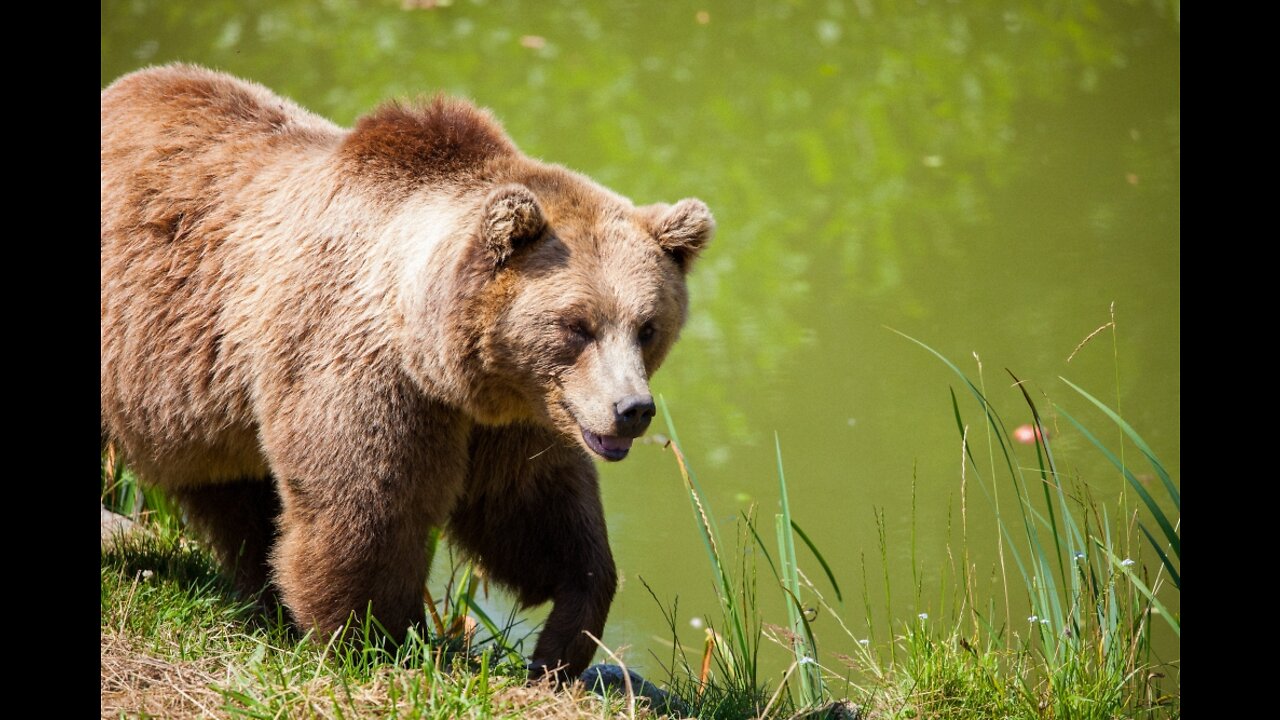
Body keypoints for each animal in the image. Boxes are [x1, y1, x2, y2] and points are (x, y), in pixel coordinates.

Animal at [99, 64, 716, 676]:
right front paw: (380, 642)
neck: (436, 353)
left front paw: (562, 641)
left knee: (231, 493)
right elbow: (366, 509)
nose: (632, 409)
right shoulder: (361, 369)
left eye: (647, 326)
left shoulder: (514, 416)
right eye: (577, 326)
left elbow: (533, 511)